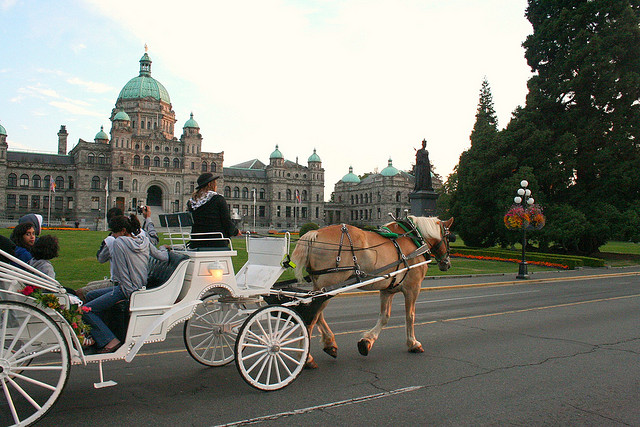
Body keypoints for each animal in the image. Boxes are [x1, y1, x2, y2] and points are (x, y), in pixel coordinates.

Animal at [292, 216, 452, 370]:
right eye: (449, 237)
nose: (447, 264)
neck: (415, 238)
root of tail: (315, 232)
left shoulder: (388, 289)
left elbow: (385, 317)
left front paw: (366, 342)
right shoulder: (413, 287)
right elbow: (410, 316)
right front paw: (413, 344)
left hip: (321, 286)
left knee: (316, 314)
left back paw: (330, 345)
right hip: (329, 283)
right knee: (311, 319)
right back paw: (307, 359)